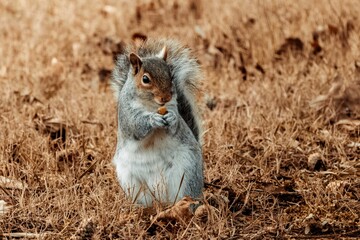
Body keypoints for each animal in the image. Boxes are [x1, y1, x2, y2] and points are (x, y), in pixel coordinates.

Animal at [111, 38, 204, 206]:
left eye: (171, 76)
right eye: (145, 79)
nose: (166, 97)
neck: (152, 106)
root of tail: (162, 199)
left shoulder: (173, 106)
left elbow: (175, 126)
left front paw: (172, 118)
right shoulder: (127, 114)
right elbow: (136, 126)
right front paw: (152, 119)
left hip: (188, 173)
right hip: (131, 181)